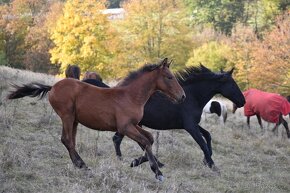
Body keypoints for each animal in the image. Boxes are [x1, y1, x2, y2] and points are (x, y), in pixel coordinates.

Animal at [7, 58, 186, 180]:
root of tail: (53, 87)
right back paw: (83, 165)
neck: (130, 96)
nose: (182, 96)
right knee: (67, 139)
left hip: (74, 120)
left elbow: (149, 139)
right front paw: (157, 172)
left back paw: (79, 165)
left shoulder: (133, 125)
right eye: (169, 77)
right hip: (67, 116)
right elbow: (146, 141)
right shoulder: (125, 127)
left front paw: (138, 162)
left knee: (70, 140)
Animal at [86, 65, 245, 171]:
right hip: (130, 125)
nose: (242, 101)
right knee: (124, 140)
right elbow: (202, 143)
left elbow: (207, 135)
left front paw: (207, 160)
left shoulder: (192, 124)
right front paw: (212, 165)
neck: (192, 97)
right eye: (232, 84)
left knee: (127, 140)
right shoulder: (190, 126)